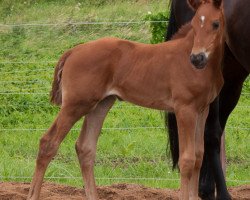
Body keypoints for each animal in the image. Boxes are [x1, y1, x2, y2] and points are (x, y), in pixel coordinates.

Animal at [27, 0, 225, 199]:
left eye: (215, 24)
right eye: (194, 24)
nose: (197, 58)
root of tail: (74, 50)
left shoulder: (202, 110)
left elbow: (198, 156)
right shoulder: (184, 108)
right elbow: (187, 159)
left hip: (100, 104)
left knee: (85, 148)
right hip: (76, 104)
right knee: (48, 143)